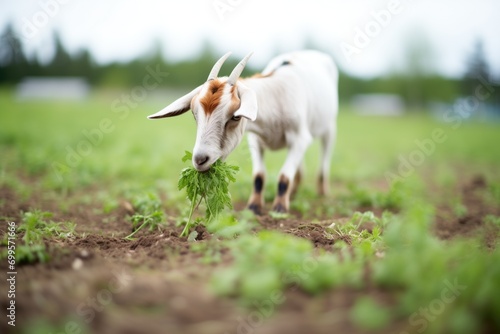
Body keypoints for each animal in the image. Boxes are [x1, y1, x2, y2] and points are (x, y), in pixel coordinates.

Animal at [146, 51, 338, 214]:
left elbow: (284, 176)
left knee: (325, 154)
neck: (277, 97)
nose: (200, 160)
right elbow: (259, 176)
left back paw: (322, 192)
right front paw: (254, 207)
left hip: (329, 128)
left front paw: (279, 209)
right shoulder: (256, 140)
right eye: (194, 113)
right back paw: (296, 190)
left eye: (235, 116)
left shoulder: (299, 138)